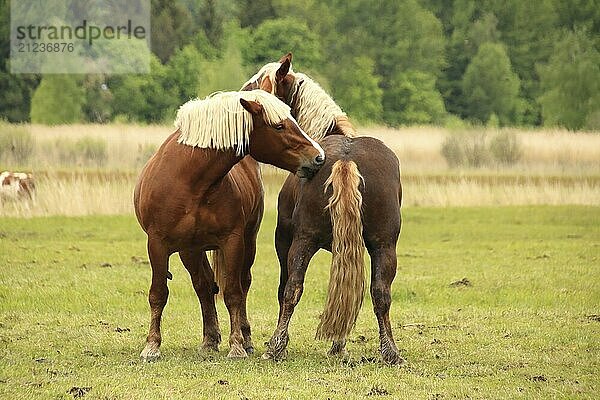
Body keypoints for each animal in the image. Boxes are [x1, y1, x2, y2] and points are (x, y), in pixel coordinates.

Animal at [134, 90, 326, 360]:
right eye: (279, 126)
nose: (319, 157)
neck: (190, 180)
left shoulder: (232, 241)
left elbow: (234, 293)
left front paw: (236, 346)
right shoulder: (158, 244)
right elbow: (158, 293)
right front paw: (151, 346)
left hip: (247, 243)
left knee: (241, 284)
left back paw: (244, 339)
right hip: (189, 250)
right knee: (203, 287)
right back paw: (209, 340)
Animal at [243, 54, 404, 364]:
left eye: (257, 83)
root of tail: (347, 159)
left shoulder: (285, 240)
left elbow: (286, 289)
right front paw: (339, 343)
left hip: (302, 241)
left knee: (292, 288)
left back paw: (276, 347)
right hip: (384, 245)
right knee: (380, 293)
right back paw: (390, 351)